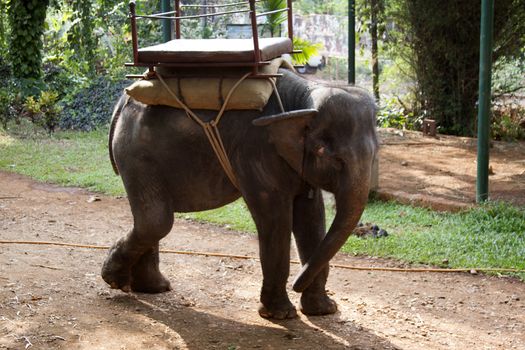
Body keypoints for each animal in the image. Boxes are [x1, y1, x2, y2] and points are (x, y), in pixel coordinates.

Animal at [101, 69, 376, 320]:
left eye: (375, 153)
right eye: (325, 152)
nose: (298, 284)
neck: (304, 94)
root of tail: (122, 101)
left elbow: (311, 217)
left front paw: (323, 310)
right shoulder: (255, 151)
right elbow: (275, 218)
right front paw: (281, 315)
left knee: (151, 219)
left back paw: (152, 288)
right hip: (136, 154)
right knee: (156, 221)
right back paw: (116, 280)